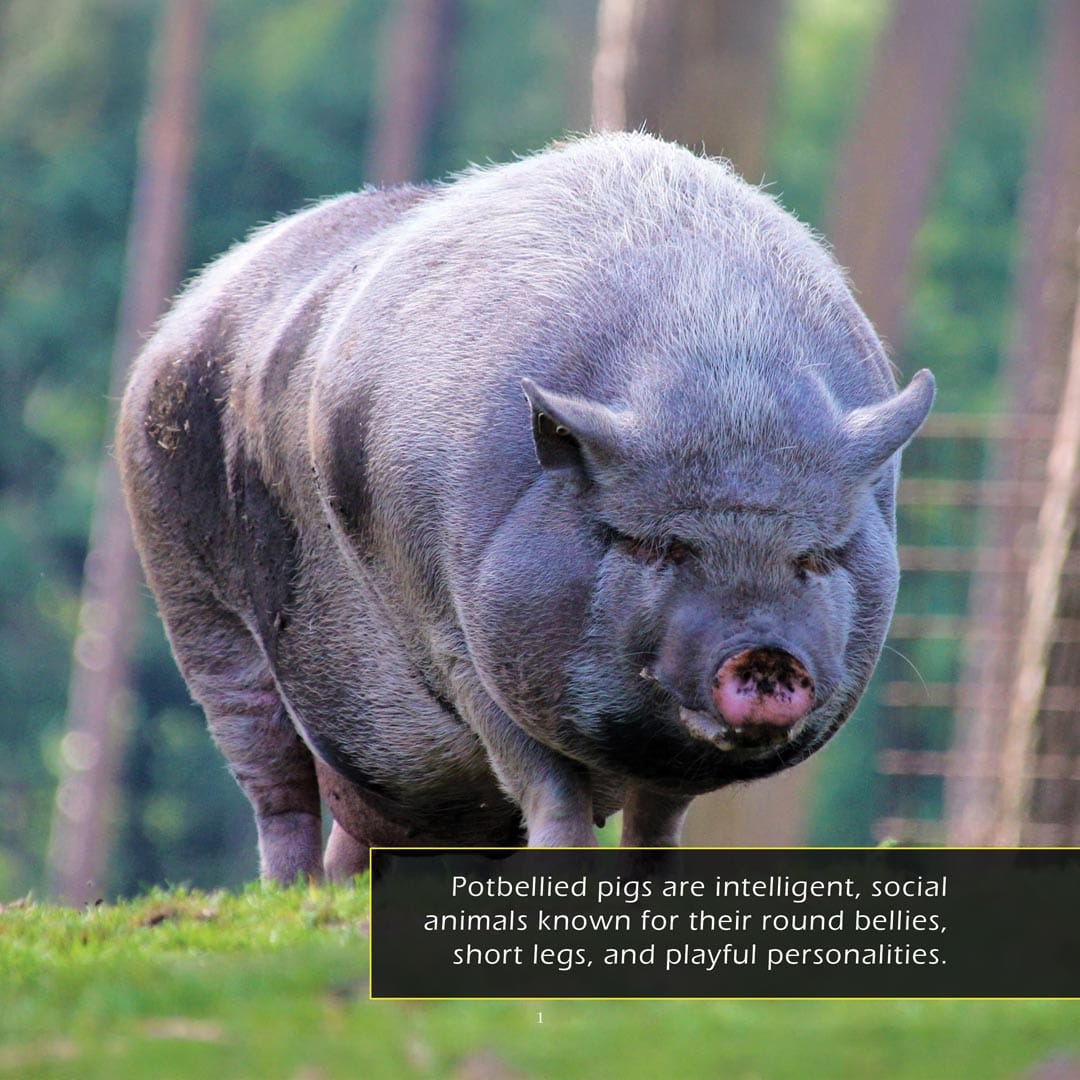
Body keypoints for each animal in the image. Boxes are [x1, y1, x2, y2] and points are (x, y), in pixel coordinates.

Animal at [117, 132, 934, 881]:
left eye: (815, 558)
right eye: (660, 546)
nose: (764, 649)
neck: (722, 372)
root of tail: (170, 327)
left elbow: (658, 814)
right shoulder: (456, 644)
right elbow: (547, 784)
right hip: (194, 598)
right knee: (275, 781)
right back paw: (292, 896)